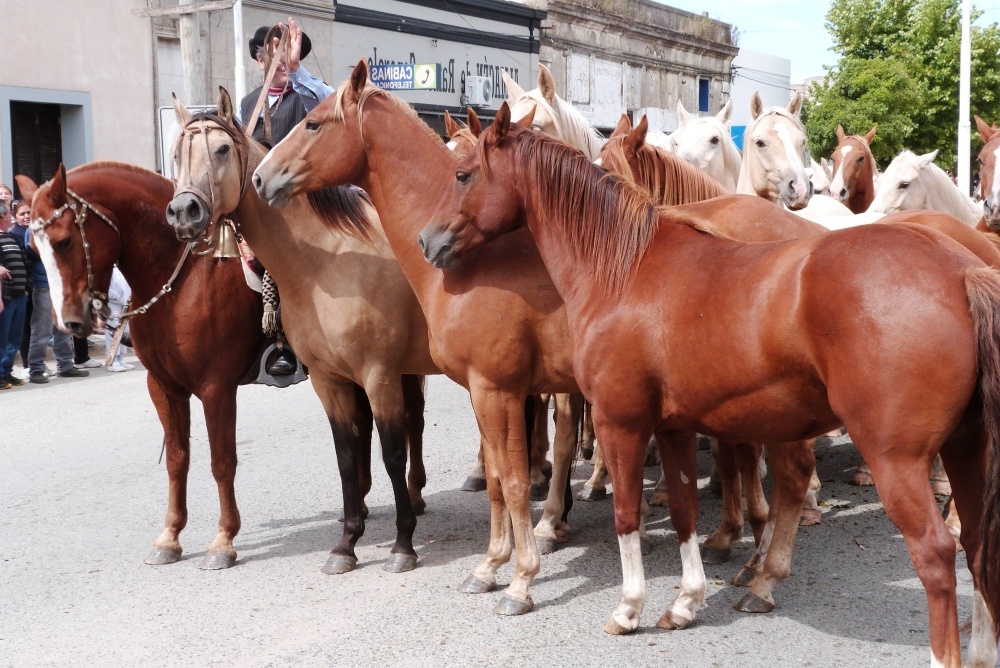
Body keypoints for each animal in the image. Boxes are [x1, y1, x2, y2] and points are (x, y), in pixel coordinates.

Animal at [17, 162, 378, 568]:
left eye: (64, 241)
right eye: (33, 248)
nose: (70, 323)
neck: (178, 279)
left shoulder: (216, 387)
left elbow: (222, 461)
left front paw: (223, 540)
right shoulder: (163, 387)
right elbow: (177, 459)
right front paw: (170, 536)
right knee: (361, 423)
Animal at [165, 91, 438, 576]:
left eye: (222, 150)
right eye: (178, 153)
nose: (183, 212)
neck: (328, 264)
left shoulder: (379, 375)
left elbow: (391, 451)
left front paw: (403, 544)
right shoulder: (330, 380)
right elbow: (347, 454)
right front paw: (346, 543)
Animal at [422, 104, 1000, 668]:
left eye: (463, 173)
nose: (428, 240)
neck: (624, 268)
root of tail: (959, 272)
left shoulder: (619, 422)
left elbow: (626, 514)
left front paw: (628, 607)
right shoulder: (673, 427)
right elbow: (683, 511)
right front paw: (685, 601)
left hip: (896, 460)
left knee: (935, 554)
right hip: (965, 449)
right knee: (976, 542)